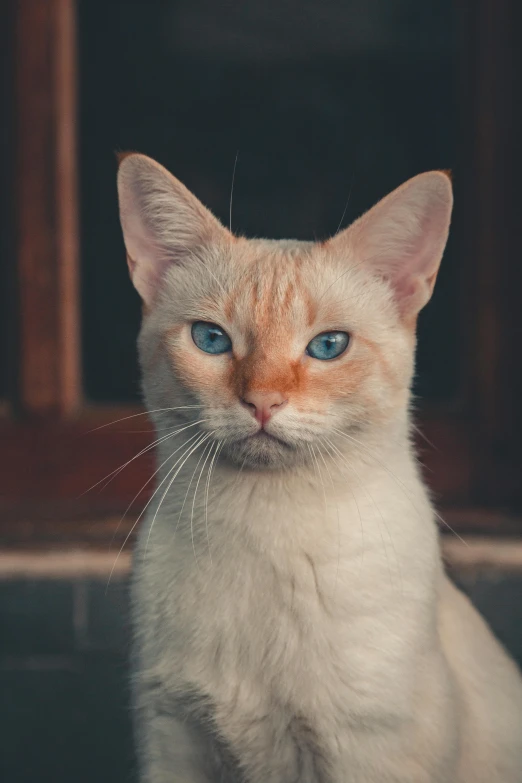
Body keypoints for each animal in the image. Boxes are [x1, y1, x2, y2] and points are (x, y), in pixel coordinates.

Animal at [116, 155, 520, 783]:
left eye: (328, 346)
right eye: (211, 340)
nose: (261, 402)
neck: (261, 531)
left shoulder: (365, 751)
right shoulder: (172, 736)